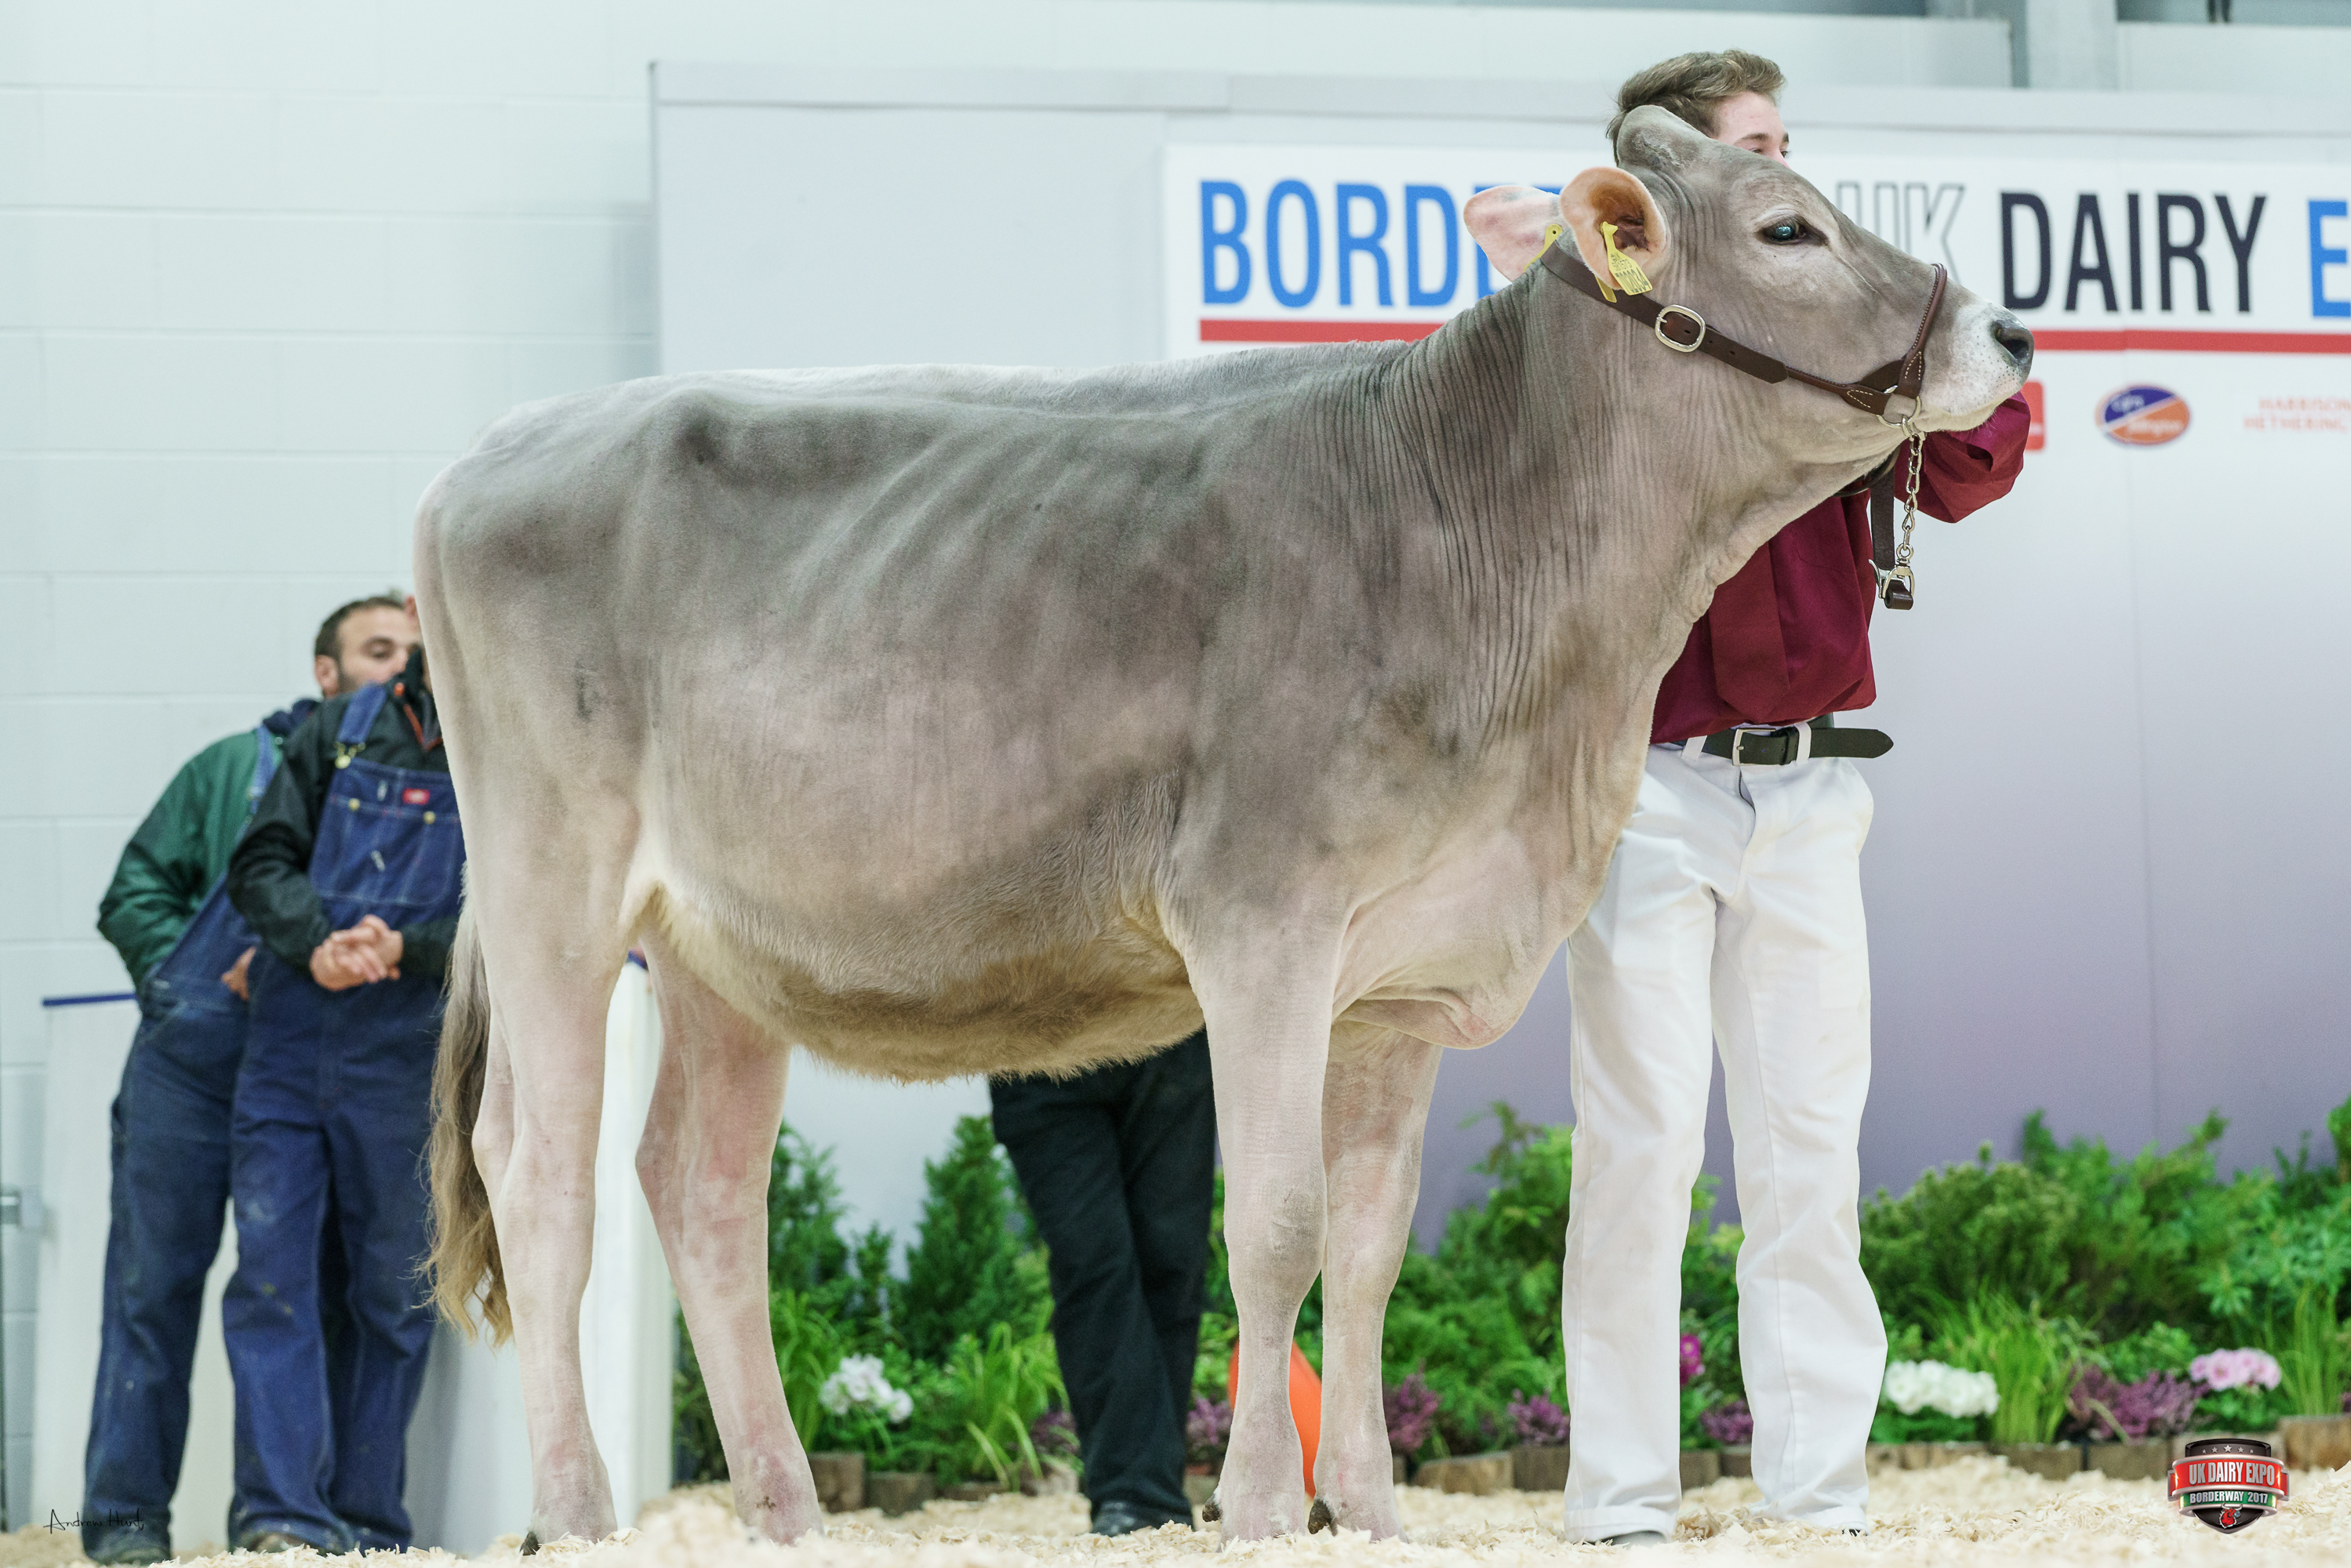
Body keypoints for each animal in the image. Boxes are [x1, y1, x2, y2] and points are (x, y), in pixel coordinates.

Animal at [415, 106, 2029, 1548]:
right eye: (1786, 229)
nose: (2011, 336)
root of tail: (487, 453)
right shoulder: (1264, 925)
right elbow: (1275, 1225)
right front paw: (1257, 1510)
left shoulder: (1397, 977)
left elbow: (1369, 1245)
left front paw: (1368, 1511)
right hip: (553, 881)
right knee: (542, 1175)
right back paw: (579, 1517)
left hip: (720, 951)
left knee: (699, 1190)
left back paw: (783, 1513)